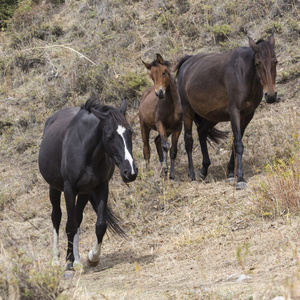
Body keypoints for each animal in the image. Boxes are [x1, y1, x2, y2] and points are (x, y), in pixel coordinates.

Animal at [38, 96, 139, 272]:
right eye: (109, 136)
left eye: (130, 133)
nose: (130, 172)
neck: (87, 153)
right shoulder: (69, 190)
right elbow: (69, 225)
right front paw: (69, 262)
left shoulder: (102, 186)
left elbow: (99, 225)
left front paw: (92, 257)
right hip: (54, 189)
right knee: (57, 217)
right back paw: (56, 259)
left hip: (84, 192)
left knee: (77, 219)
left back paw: (77, 260)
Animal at [175, 35, 278, 190]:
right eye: (257, 64)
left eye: (275, 61)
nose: (270, 96)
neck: (243, 74)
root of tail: (186, 62)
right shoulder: (234, 112)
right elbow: (238, 144)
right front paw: (240, 178)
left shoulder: (247, 115)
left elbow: (235, 143)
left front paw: (230, 173)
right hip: (188, 110)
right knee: (188, 140)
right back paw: (192, 176)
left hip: (213, 115)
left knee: (201, 131)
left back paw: (203, 170)